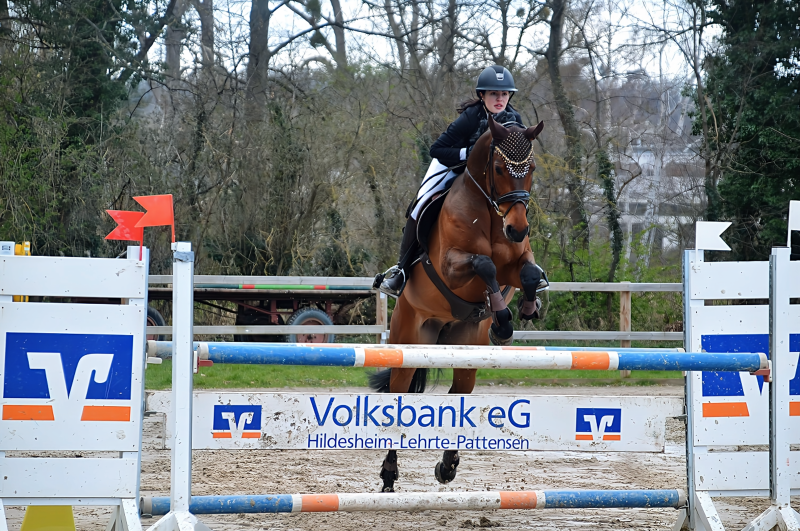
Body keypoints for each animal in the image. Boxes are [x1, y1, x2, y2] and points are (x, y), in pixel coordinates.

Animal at [370, 116, 548, 494]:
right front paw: (503, 318)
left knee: (458, 396)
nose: (518, 228)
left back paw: (448, 464)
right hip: (409, 340)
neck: (492, 216)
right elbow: (485, 264)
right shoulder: (451, 267)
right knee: (399, 395)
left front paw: (520, 313)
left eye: (531, 169)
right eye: (499, 168)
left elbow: (526, 271)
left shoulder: (517, 261)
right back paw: (390, 473)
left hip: (466, 348)